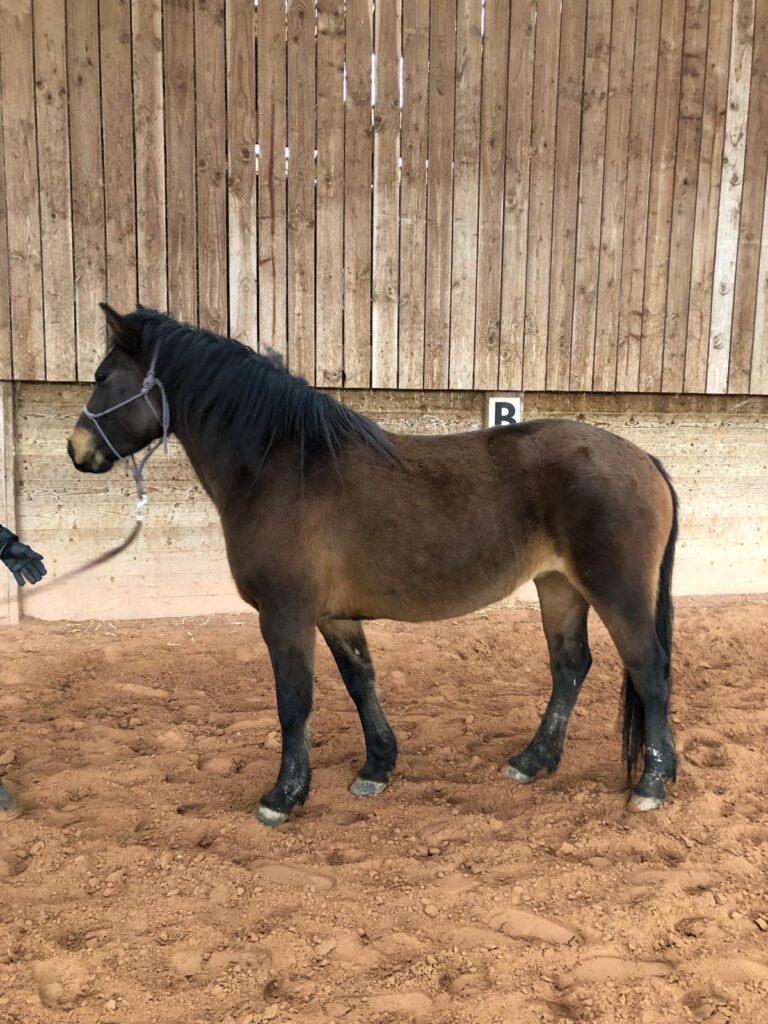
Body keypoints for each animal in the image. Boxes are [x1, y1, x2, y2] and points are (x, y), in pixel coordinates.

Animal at [68, 305, 679, 827]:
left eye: (102, 376)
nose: (77, 449)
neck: (282, 466)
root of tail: (644, 460)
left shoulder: (285, 613)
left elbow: (294, 701)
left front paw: (283, 797)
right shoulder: (333, 615)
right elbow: (360, 681)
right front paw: (377, 767)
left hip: (616, 590)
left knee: (649, 670)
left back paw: (651, 783)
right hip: (558, 586)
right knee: (570, 666)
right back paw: (533, 761)